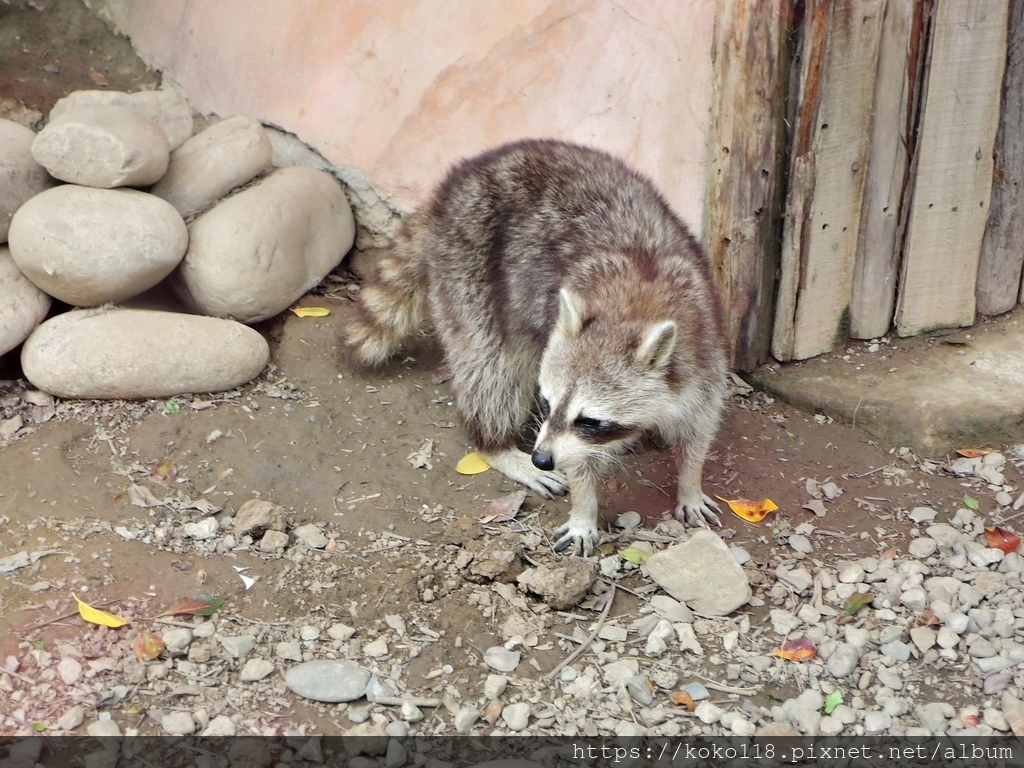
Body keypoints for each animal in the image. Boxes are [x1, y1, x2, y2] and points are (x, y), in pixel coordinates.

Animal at [346, 138, 729, 557]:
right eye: (546, 404)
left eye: (589, 420)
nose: (542, 458)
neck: (635, 305)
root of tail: (449, 189)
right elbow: (580, 461)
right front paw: (584, 508)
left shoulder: (703, 350)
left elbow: (698, 425)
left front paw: (690, 481)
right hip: (468, 264)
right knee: (493, 366)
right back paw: (493, 444)